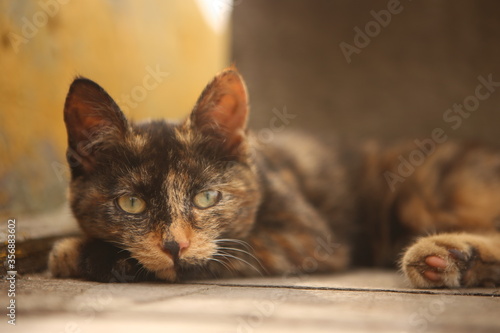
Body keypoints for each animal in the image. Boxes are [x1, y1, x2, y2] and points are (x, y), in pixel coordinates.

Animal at [48, 68, 500, 288]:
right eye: (131, 203)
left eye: (207, 197)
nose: (175, 245)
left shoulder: (305, 238)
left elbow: (216, 256)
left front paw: (75, 252)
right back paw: (450, 258)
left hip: (423, 193)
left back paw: (440, 253)